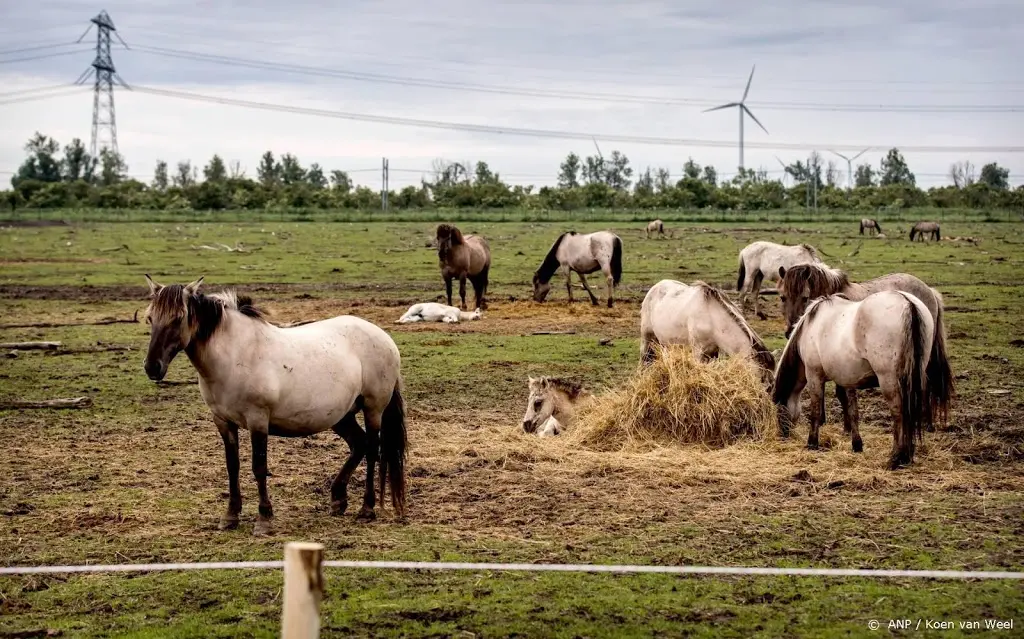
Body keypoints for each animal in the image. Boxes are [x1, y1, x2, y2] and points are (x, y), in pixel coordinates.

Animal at [142, 275, 408, 535]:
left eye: (178, 318)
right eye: (150, 318)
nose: (152, 367)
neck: (235, 355)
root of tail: (383, 336)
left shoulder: (258, 419)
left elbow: (259, 466)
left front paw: (264, 519)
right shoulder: (223, 421)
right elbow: (232, 466)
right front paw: (230, 516)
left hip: (373, 409)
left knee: (372, 449)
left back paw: (367, 509)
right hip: (341, 416)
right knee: (358, 444)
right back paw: (337, 500)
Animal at [640, 279, 777, 386]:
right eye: (761, 379)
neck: (711, 318)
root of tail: (656, 286)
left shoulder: (714, 351)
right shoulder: (697, 352)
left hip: (667, 344)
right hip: (647, 337)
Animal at [772, 291, 953, 469]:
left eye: (779, 408)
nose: (783, 435)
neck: (810, 327)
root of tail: (907, 302)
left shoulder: (814, 376)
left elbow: (815, 412)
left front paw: (812, 443)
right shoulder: (847, 379)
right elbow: (853, 412)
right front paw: (856, 445)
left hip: (889, 380)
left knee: (899, 413)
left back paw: (896, 457)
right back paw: (907, 456)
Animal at [775, 263, 954, 429]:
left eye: (805, 297)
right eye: (782, 297)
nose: (791, 330)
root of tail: (929, 290)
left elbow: (841, 393)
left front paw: (847, 426)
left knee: (927, 384)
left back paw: (927, 423)